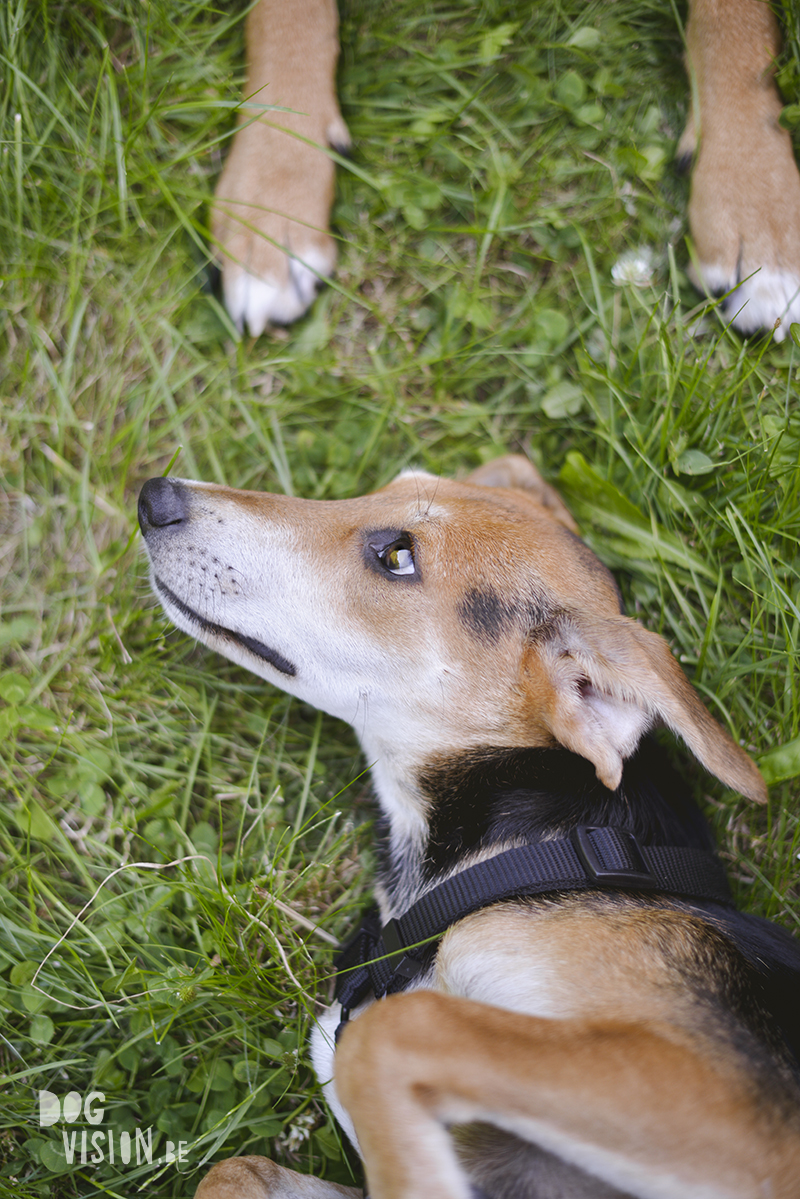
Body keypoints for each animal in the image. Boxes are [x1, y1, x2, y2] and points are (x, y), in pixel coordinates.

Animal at [137, 455, 800, 1199]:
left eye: (396, 555)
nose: (155, 497)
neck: (531, 848)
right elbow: (233, 1167)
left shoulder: (724, 1100)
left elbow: (396, 1028)